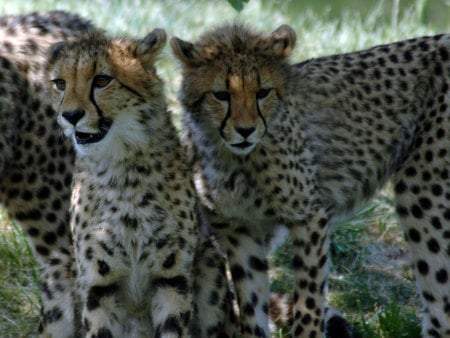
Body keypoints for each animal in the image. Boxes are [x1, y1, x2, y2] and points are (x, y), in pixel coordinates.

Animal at [46, 29, 237, 338]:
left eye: (102, 80)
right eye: (60, 84)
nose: (70, 116)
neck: (122, 168)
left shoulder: (171, 277)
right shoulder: (100, 283)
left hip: (209, 260)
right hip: (58, 268)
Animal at [171, 24, 450, 338]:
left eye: (263, 92)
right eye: (220, 94)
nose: (245, 131)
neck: (237, 160)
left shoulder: (309, 218)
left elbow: (308, 300)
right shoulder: (239, 232)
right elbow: (252, 306)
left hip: (422, 190)